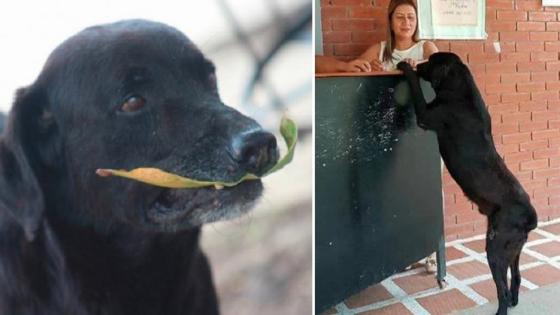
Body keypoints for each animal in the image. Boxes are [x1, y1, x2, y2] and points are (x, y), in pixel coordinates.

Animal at [398, 53, 540, 314]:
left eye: (431, 61)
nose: (419, 63)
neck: (460, 88)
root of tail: (530, 218)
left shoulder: (426, 115)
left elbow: (416, 89)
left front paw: (406, 68)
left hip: (496, 250)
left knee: (502, 289)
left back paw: (502, 308)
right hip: (514, 249)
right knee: (516, 277)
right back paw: (514, 301)